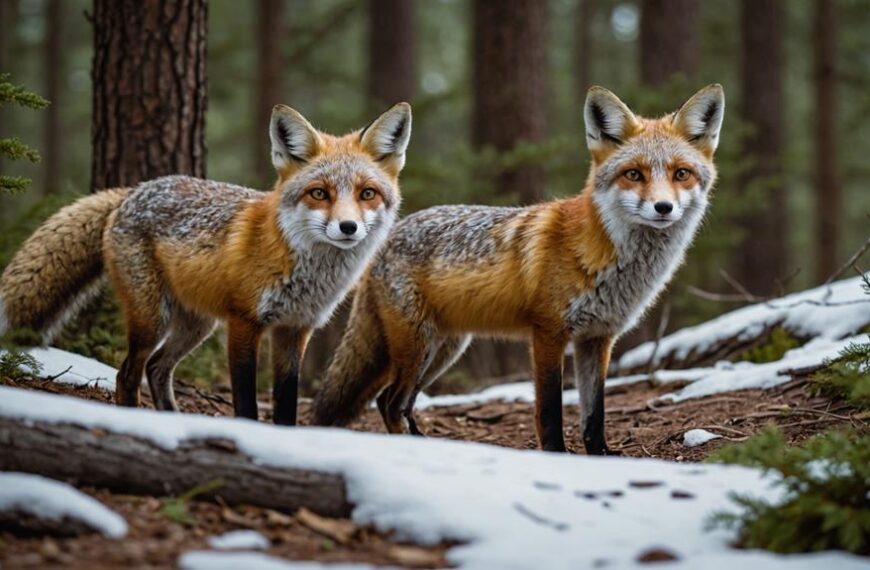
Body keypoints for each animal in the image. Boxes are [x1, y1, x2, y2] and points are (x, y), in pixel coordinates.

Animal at [0, 102, 412, 425]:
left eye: (367, 194)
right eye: (319, 194)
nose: (348, 227)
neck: (306, 273)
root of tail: (131, 191)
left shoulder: (295, 330)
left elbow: (286, 406)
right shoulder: (244, 322)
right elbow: (246, 403)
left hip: (196, 325)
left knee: (157, 368)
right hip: (153, 318)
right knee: (127, 373)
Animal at [312, 85, 725, 455]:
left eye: (681, 173)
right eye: (634, 174)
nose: (663, 208)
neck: (609, 258)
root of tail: (386, 237)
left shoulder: (598, 338)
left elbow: (595, 416)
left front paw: (601, 458)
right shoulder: (548, 332)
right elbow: (550, 411)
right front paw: (556, 455)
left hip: (442, 351)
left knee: (397, 403)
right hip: (416, 347)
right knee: (390, 401)